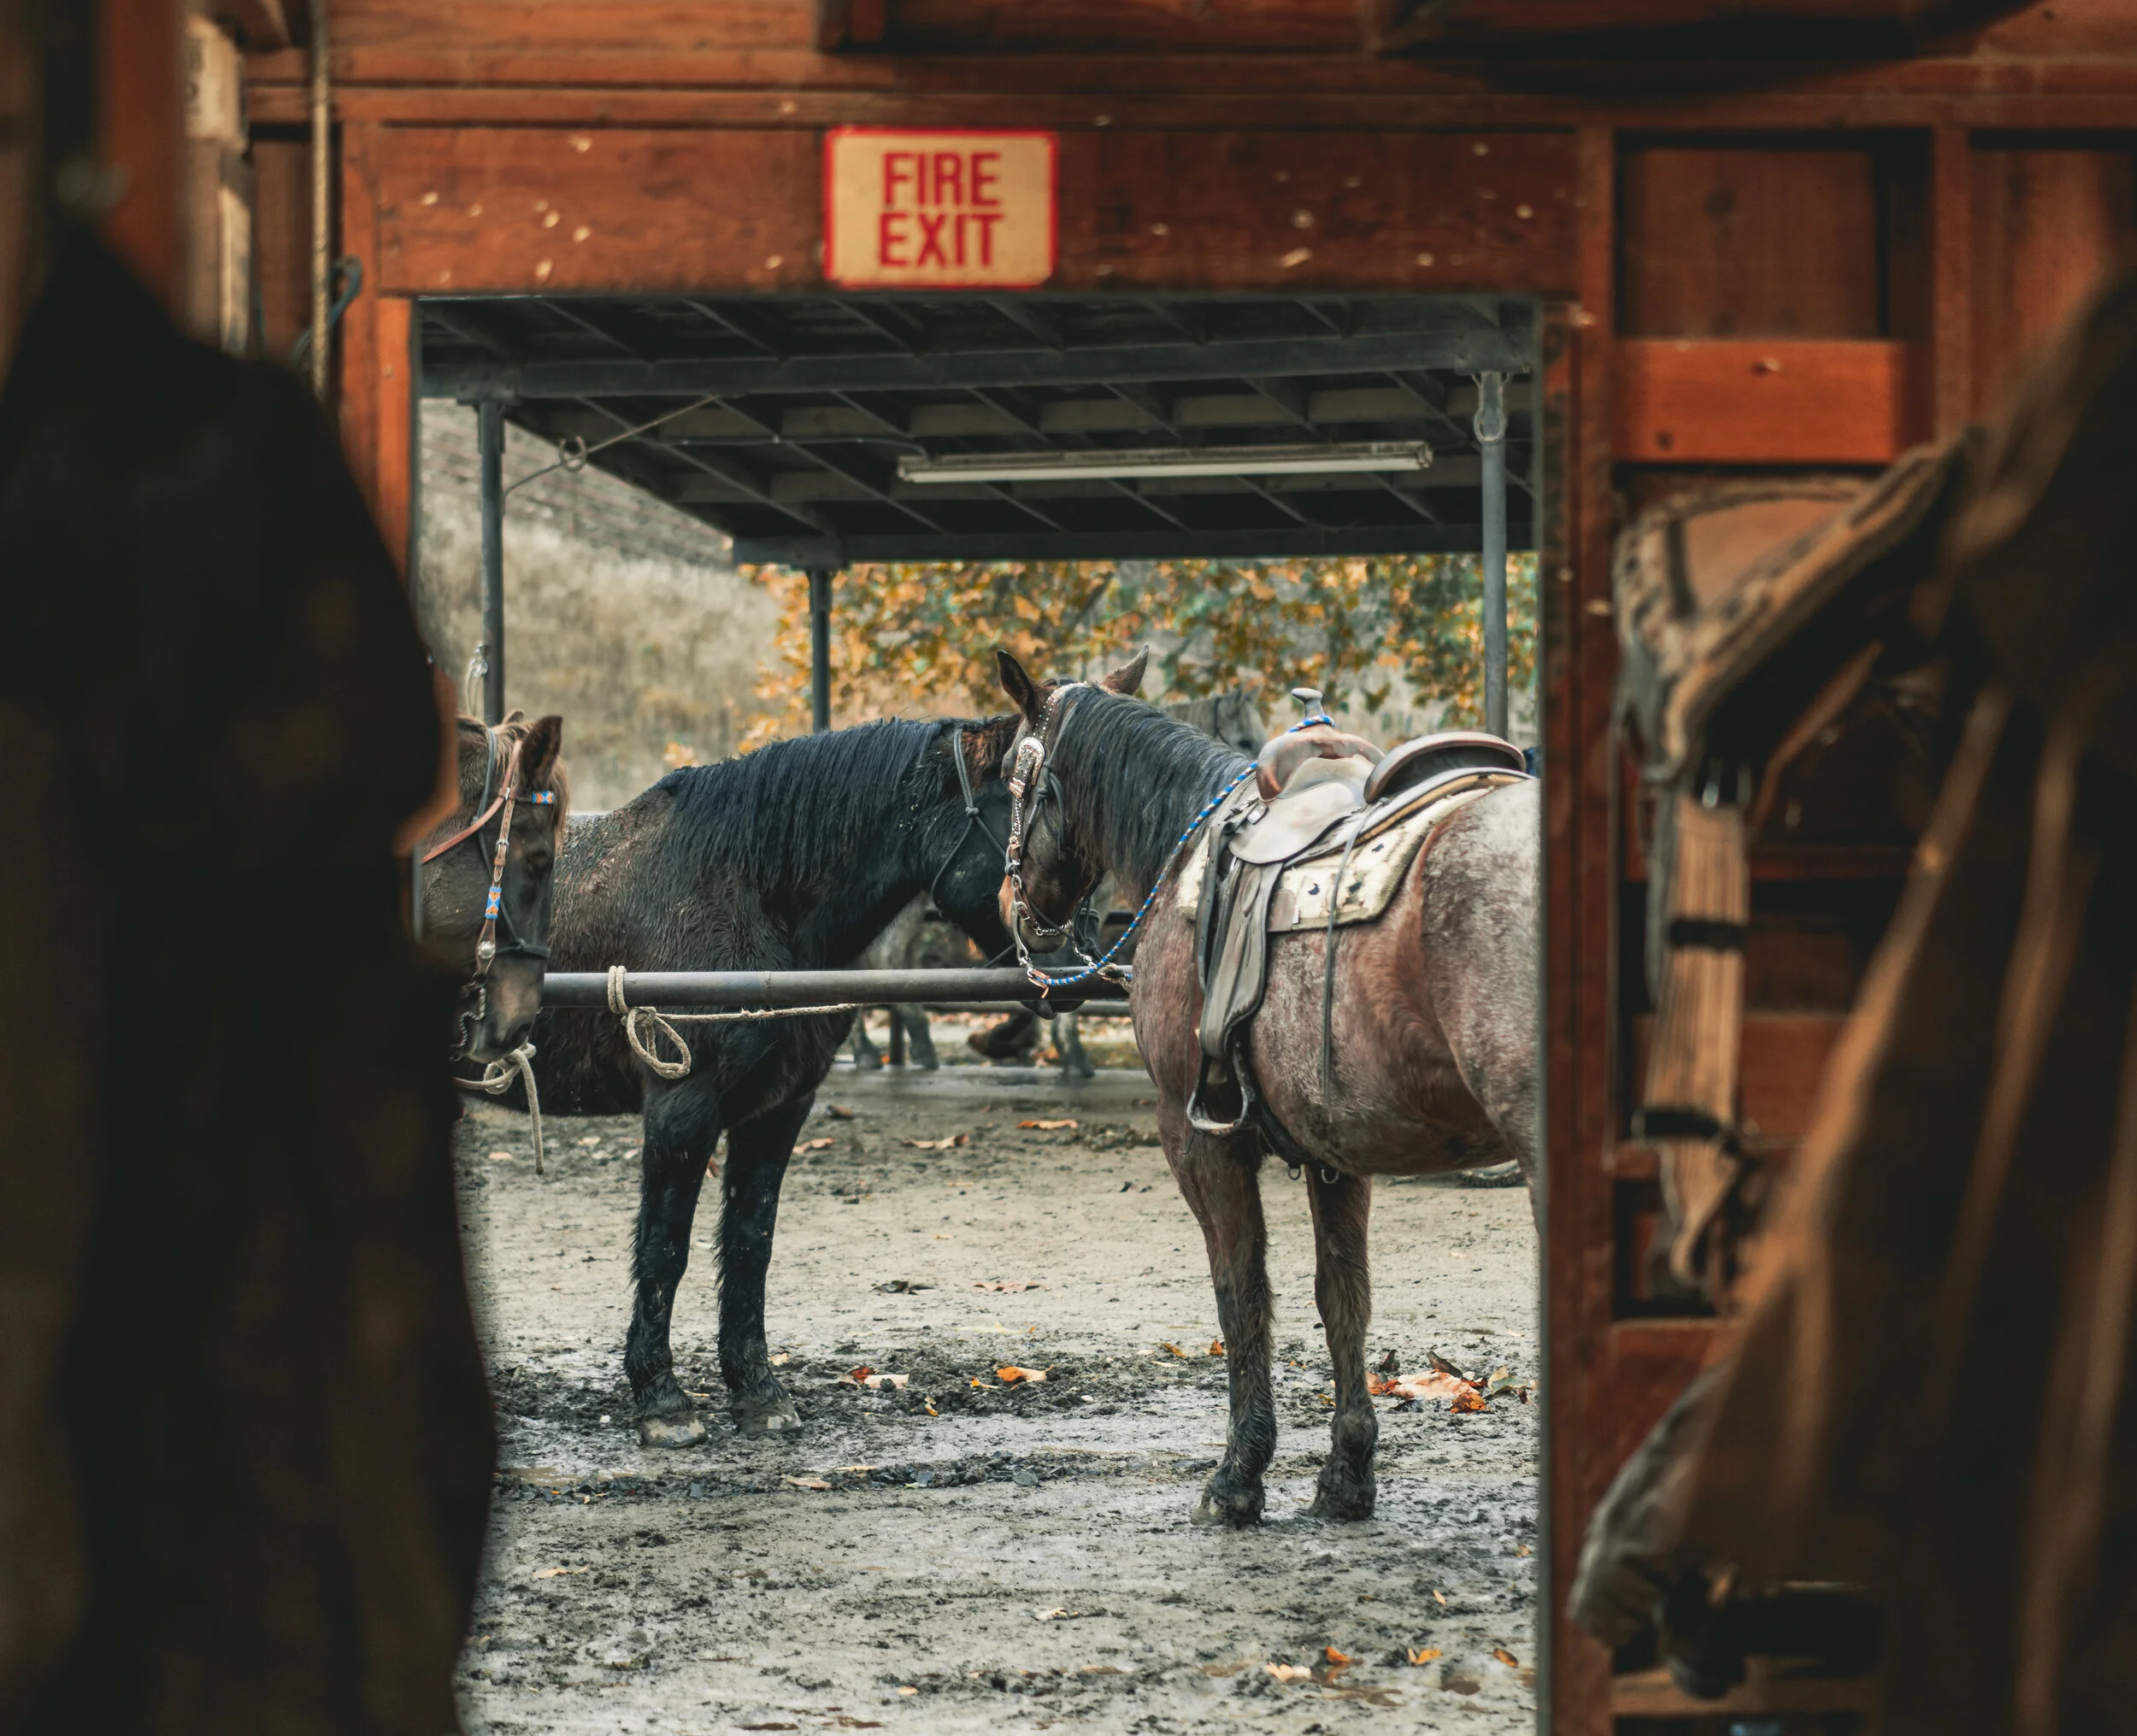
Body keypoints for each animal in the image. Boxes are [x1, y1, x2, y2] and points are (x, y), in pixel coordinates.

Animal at [524, 715, 1023, 1445]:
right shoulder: (682, 1108)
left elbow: (749, 1244)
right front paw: (662, 1400)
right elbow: (664, 1247)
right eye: (1027, 813)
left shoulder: (778, 1109)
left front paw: (757, 1390)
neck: (741, 888)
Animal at [994, 650, 1539, 1526]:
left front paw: (1239, 1472)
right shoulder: (1337, 1151)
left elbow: (1241, 1291)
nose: (1012, 905)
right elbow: (1341, 1295)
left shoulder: (1201, 1136)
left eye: (1015, 773)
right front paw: (1347, 1472)